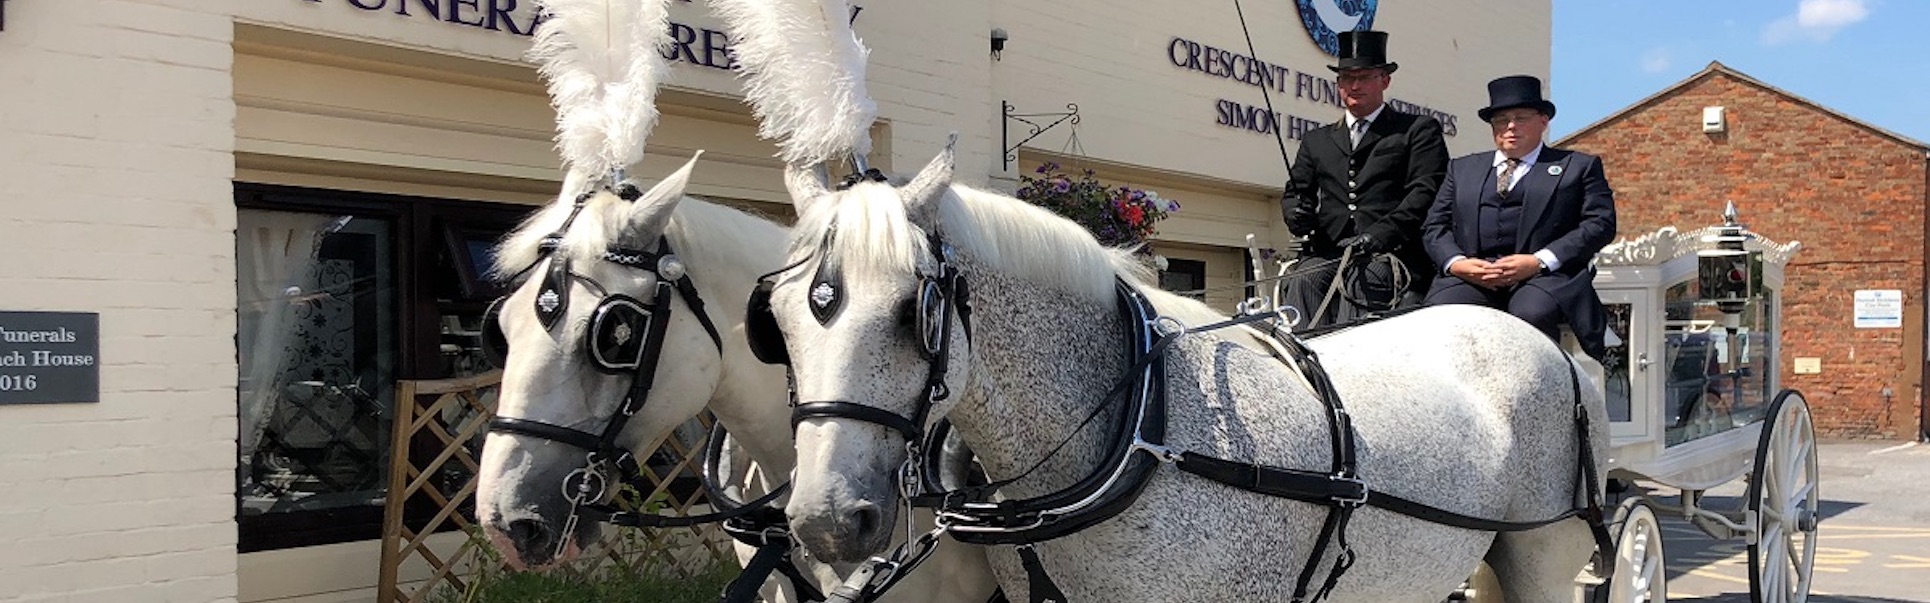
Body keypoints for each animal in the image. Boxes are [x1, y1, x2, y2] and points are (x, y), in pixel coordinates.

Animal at [757, 139, 1611, 602]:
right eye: (779, 320)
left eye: (916, 310)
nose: (826, 520)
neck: (1143, 427)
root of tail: (1558, 354)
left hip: (1542, 554)